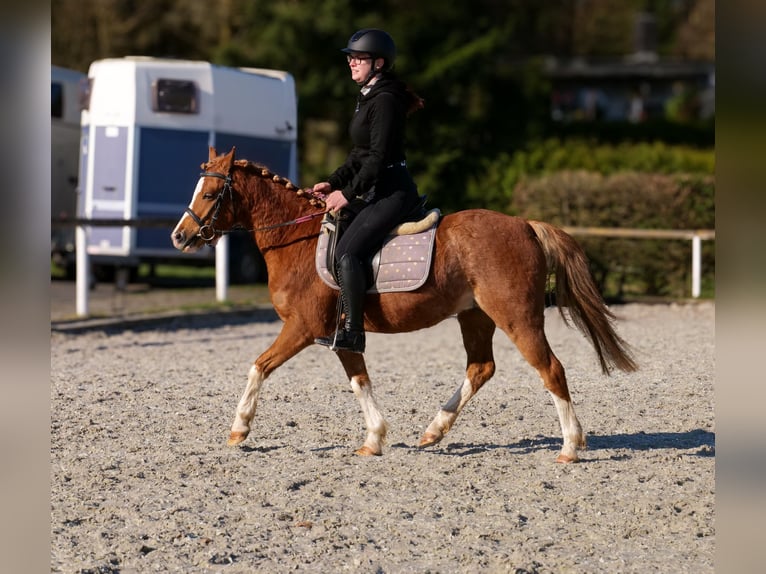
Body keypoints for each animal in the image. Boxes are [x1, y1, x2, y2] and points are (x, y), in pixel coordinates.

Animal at [171, 147, 637, 463]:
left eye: (210, 193)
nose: (179, 237)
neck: (297, 241)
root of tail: (524, 225)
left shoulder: (301, 328)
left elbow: (259, 367)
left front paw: (238, 429)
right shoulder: (340, 334)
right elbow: (359, 380)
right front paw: (374, 439)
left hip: (517, 318)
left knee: (551, 370)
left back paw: (571, 447)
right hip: (475, 316)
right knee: (480, 368)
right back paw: (434, 431)